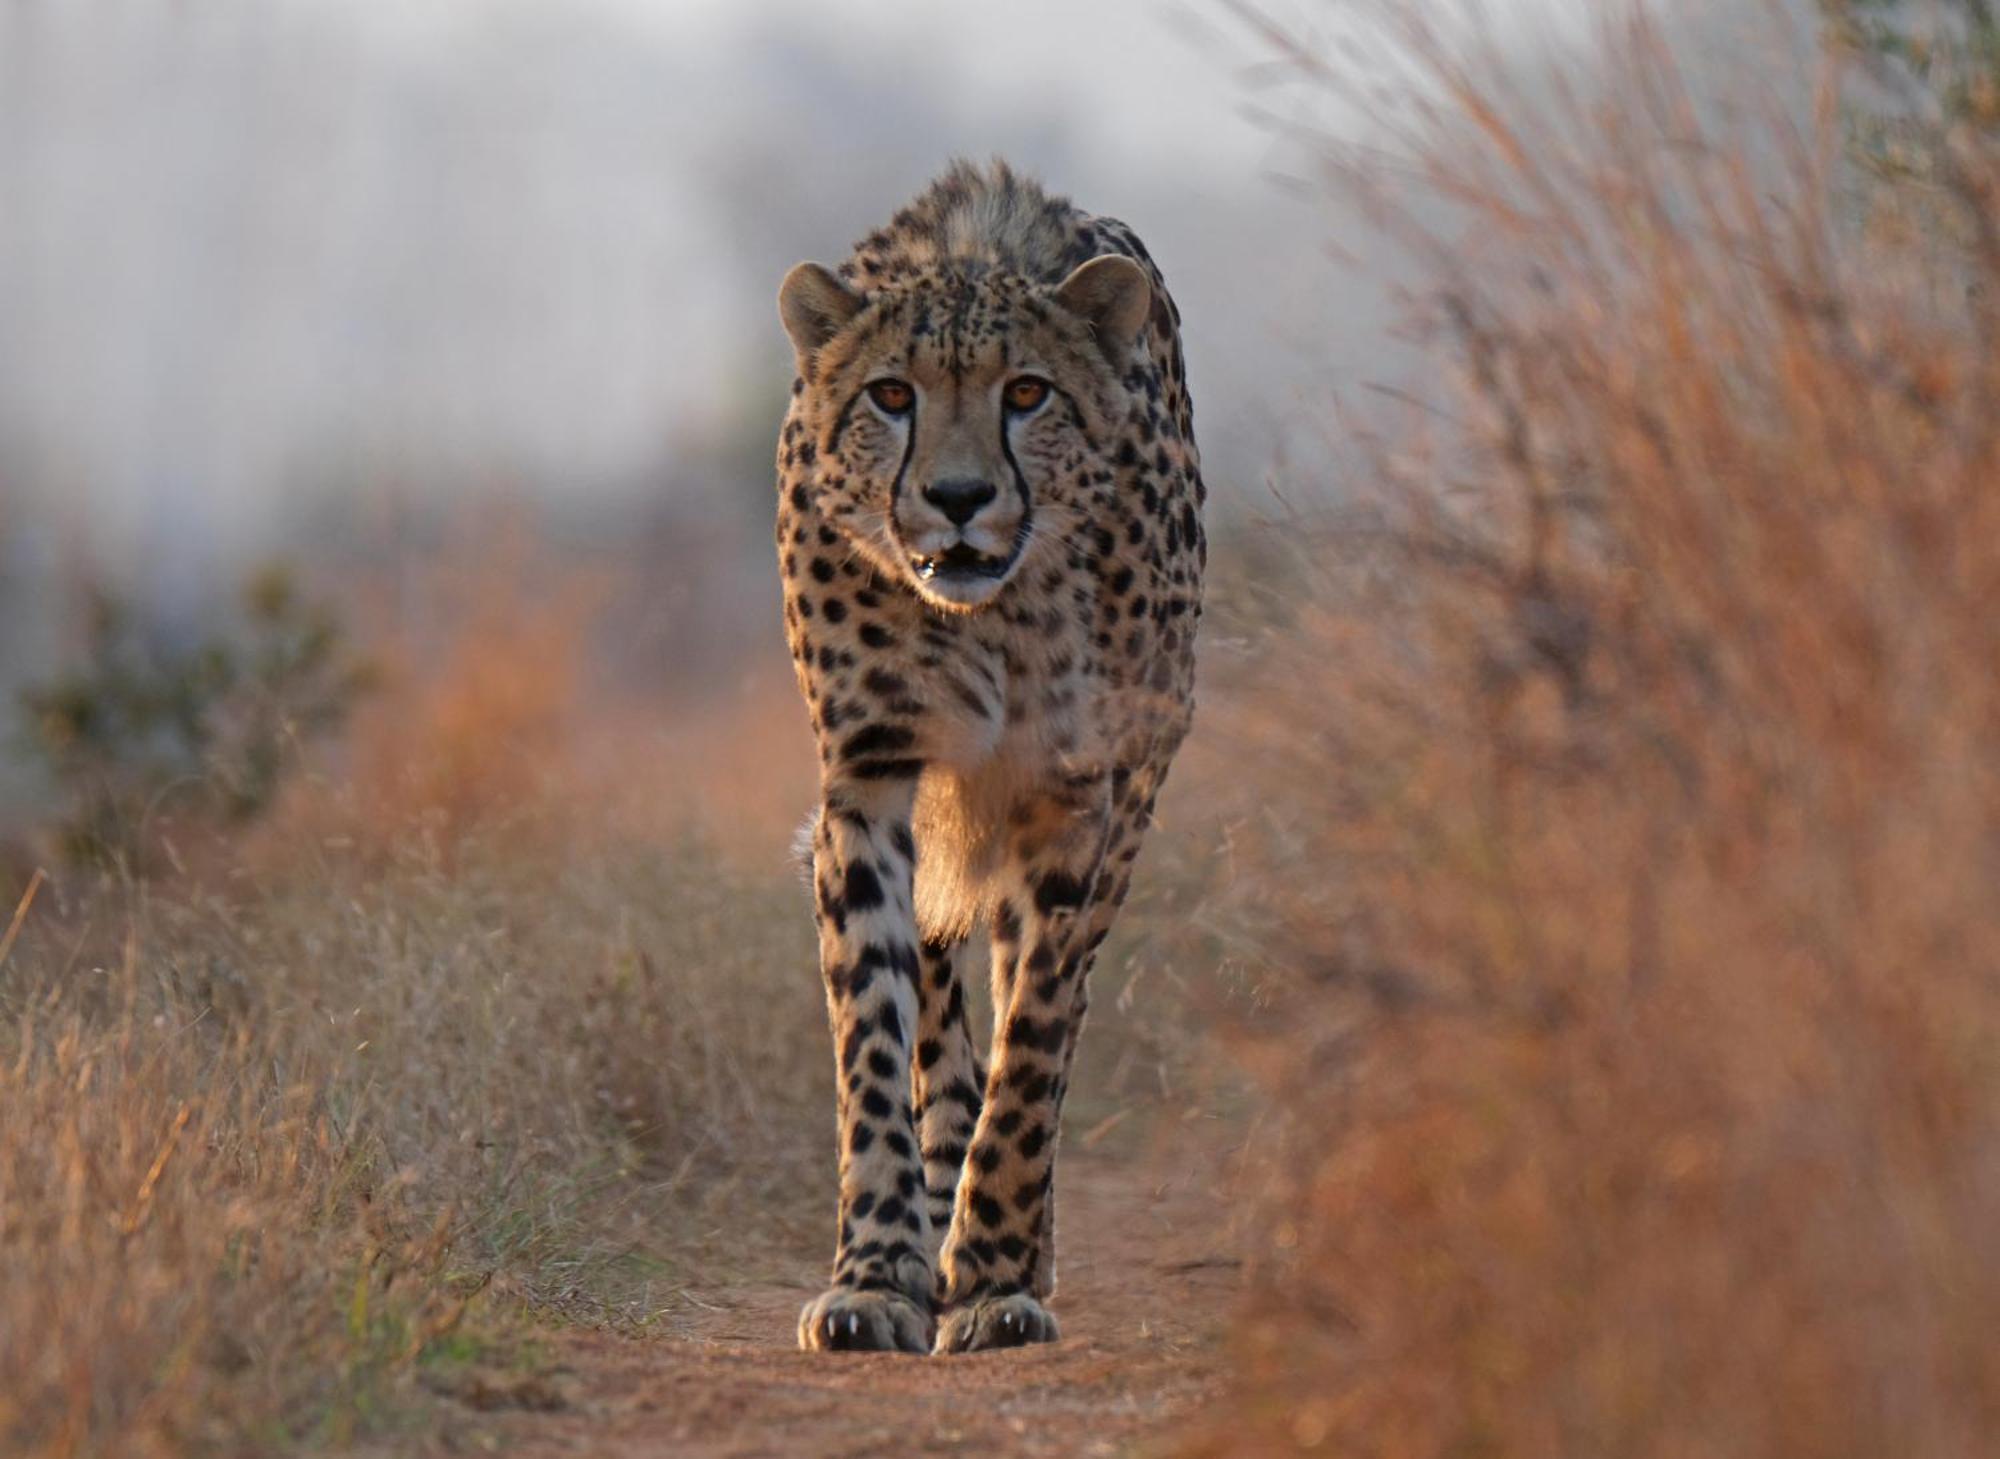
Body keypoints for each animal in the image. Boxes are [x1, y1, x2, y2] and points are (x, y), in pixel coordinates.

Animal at [772, 158, 1192, 1351]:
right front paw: (877, 1270)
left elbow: (1037, 1028)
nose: (958, 499)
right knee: (940, 1004)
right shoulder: (866, 782)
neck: (984, 616)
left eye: (1027, 394)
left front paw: (998, 1268)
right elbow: (874, 1032)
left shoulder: (1077, 790)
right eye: (890, 396)